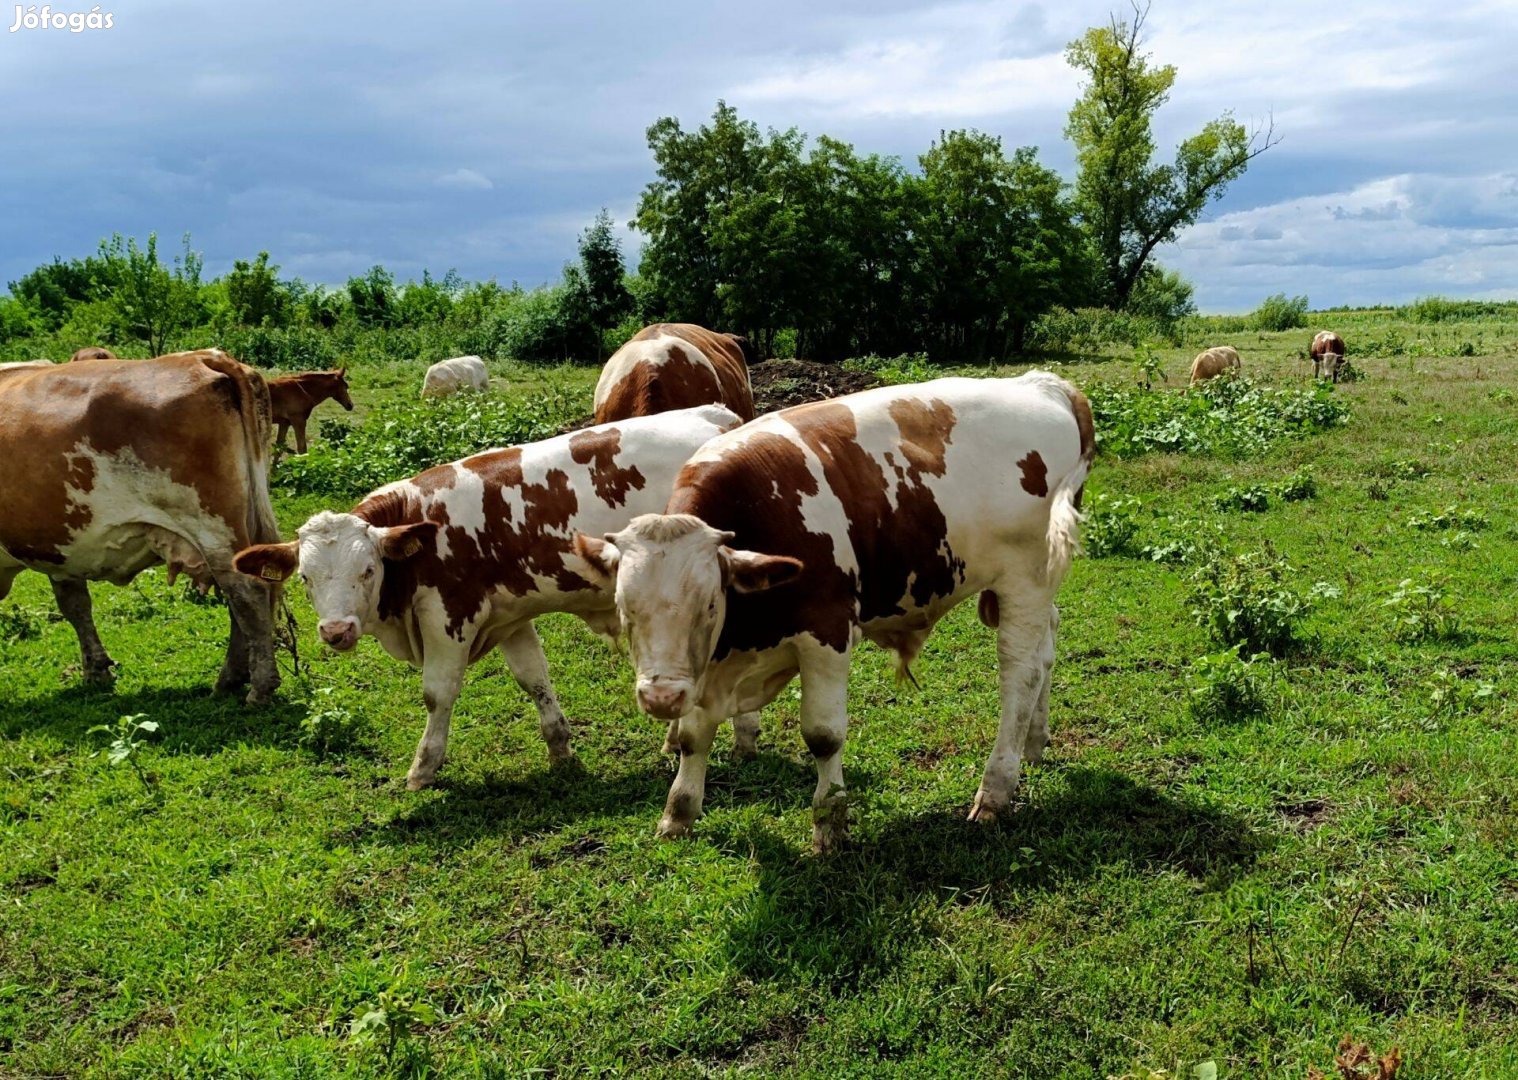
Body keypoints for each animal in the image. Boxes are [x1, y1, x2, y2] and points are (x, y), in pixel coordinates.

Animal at [0, 346, 285, 701]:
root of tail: (202, 356)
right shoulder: (59, 547)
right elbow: (75, 605)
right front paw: (96, 671)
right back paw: (232, 679)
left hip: (211, 526)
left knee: (247, 593)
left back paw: (258, 687)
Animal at [232, 404, 746, 783]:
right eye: (305, 578)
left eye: (368, 569)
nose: (336, 630)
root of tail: (717, 416)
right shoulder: (511, 616)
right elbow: (533, 678)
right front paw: (560, 749)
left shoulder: (448, 616)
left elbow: (437, 692)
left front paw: (423, 768)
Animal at [576, 372, 1092, 850]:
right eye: (624, 609)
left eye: (708, 604)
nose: (660, 698)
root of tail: (1042, 384)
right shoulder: (709, 661)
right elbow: (692, 734)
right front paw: (678, 813)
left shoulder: (826, 631)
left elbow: (822, 735)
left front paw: (830, 825)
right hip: (1037, 586)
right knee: (1045, 651)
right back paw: (1033, 745)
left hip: (1024, 577)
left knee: (1020, 671)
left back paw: (996, 789)